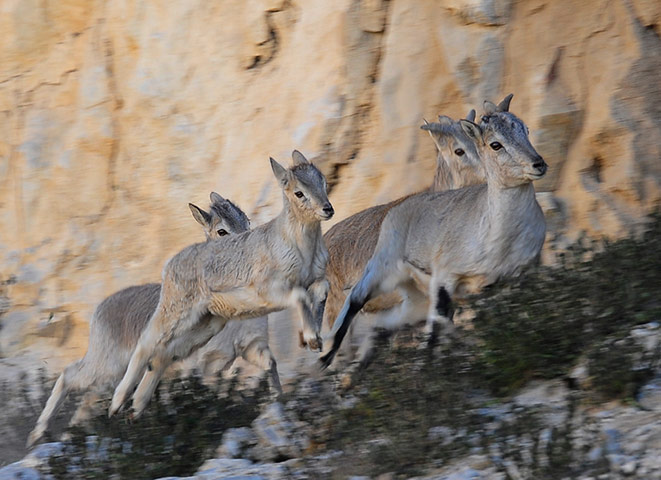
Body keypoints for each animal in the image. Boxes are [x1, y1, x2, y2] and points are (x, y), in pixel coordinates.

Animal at [109, 151, 333, 418]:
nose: (327, 209)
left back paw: (137, 407)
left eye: (322, 181)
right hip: (175, 314)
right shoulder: (271, 291)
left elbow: (321, 292)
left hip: (206, 324)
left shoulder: (315, 282)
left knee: (165, 354)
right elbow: (300, 296)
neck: (300, 249)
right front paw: (311, 338)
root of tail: (170, 266)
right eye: (299, 192)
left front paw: (315, 341)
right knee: (146, 344)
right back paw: (117, 405)